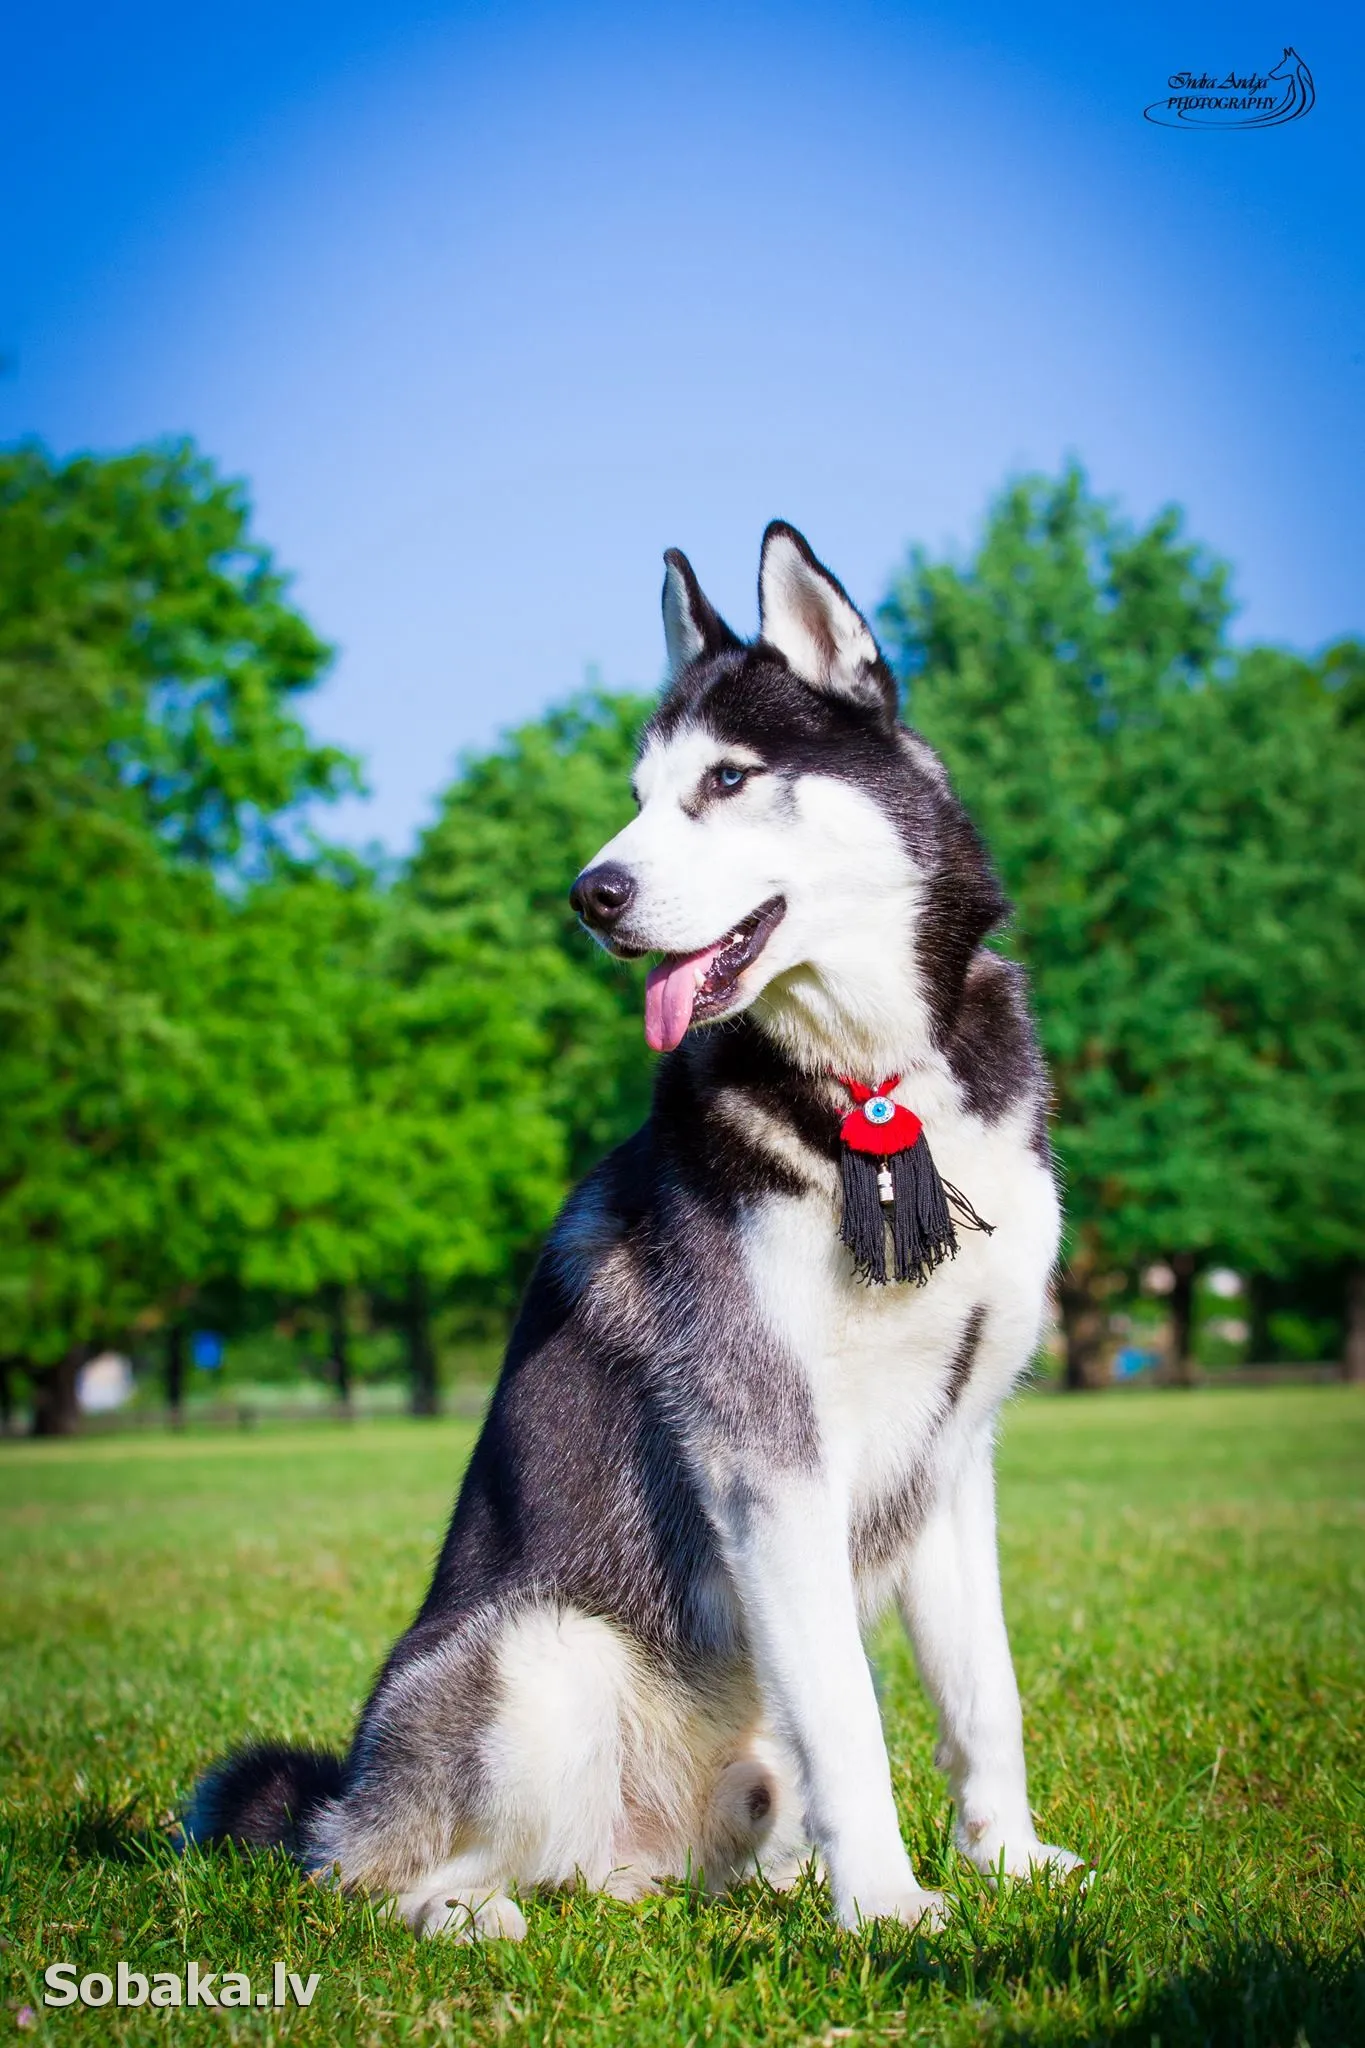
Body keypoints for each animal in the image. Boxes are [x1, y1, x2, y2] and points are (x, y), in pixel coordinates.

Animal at [189, 524, 1088, 1933]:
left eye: (725, 780)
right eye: (638, 793)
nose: (590, 892)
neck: (877, 1088)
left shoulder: (956, 1448)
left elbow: (981, 1694)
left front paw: (1005, 1861)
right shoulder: (768, 1451)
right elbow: (852, 1714)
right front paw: (889, 1907)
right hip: (535, 1653)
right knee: (376, 1871)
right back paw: (468, 1915)